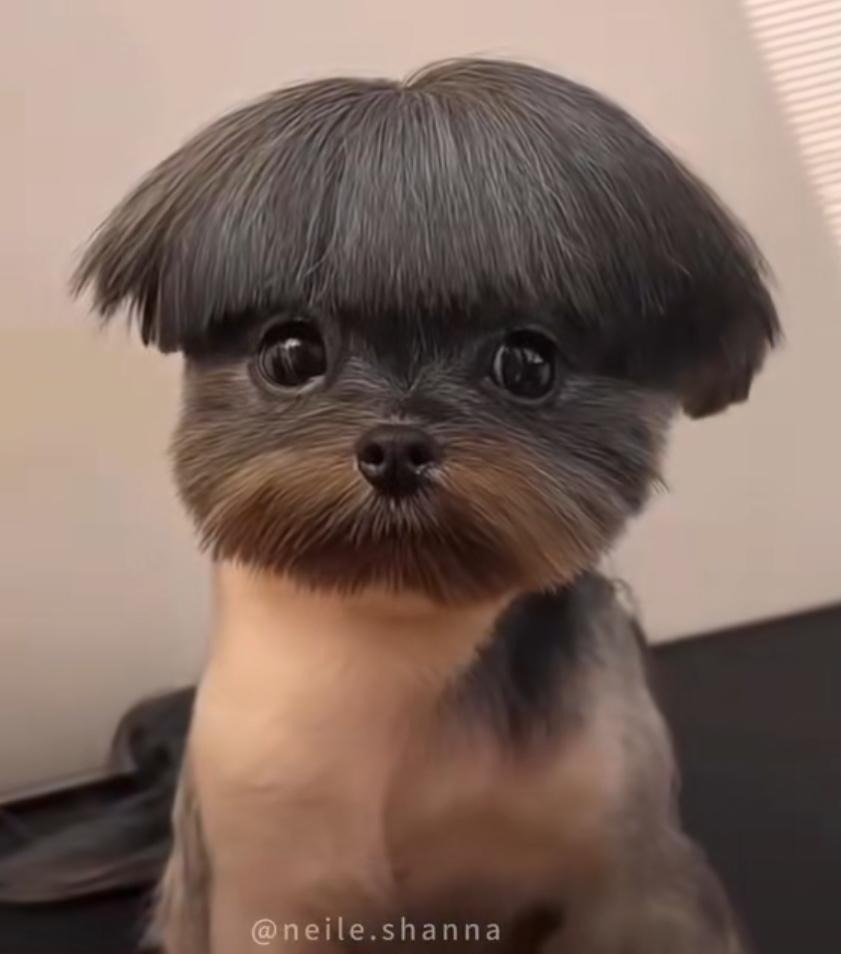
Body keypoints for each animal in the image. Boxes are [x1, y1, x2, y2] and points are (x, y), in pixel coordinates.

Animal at [74, 58, 779, 953]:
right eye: (291, 352)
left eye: (526, 363)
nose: (397, 447)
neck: (398, 643)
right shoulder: (263, 869)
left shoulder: (623, 854)